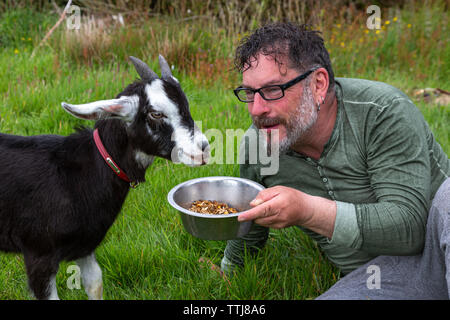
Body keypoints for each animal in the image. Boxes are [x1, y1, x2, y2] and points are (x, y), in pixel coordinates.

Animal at [0, 55, 210, 300]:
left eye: (185, 104)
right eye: (155, 113)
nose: (203, 149)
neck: (76, 178)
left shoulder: (85, 245)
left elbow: (95, 283)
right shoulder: (39, 254)